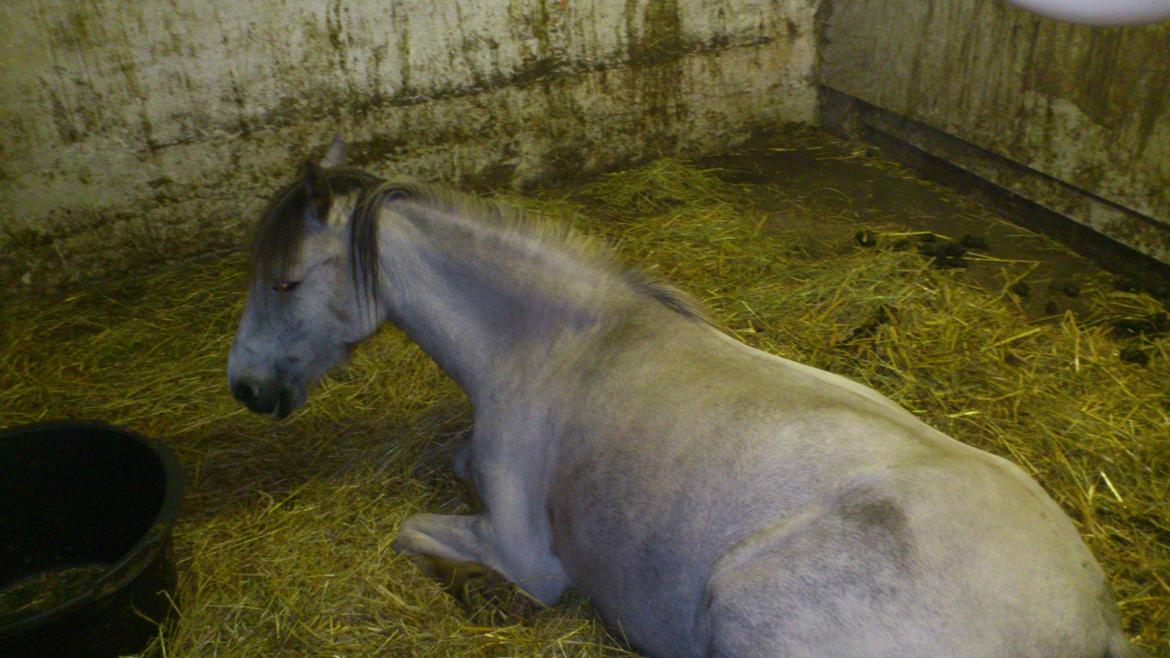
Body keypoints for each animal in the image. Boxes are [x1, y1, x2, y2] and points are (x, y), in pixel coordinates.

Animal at [227, 138, 1139, 658]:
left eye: (287, 279)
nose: (245, 385)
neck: (556, 344)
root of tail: (1089, 622)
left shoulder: (527, 554)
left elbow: (409, 534)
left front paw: (463, 587)